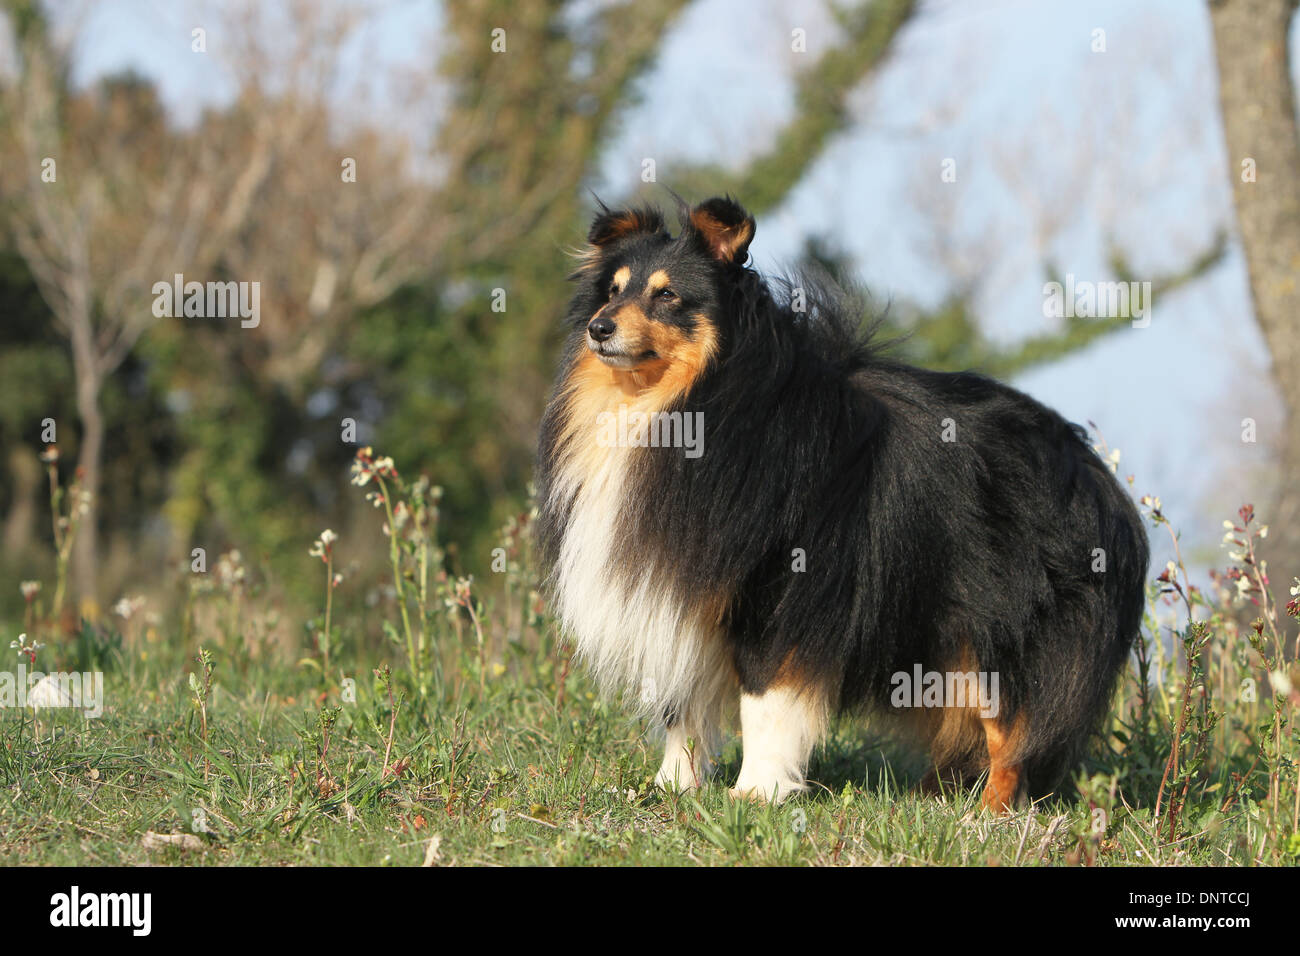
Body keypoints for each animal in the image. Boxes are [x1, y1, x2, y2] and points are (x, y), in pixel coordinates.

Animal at [535, 195, 1149, 806]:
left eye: (666, 295)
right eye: (613, 289)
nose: (598, 328)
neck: (676, 401)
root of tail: (1096, 474)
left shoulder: (778, 586)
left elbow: (764, 699)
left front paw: (755, 794)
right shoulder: (676, 582)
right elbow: (680, 705)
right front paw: (671, 788)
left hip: (1002, 621)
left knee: (1013, 730)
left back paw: (988, 815)